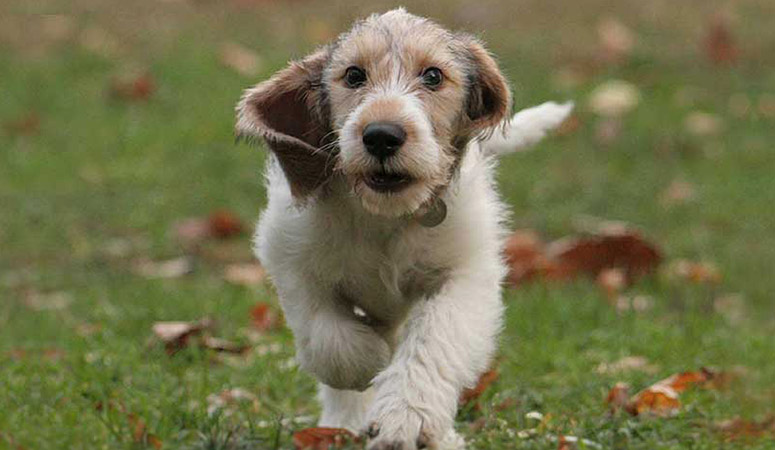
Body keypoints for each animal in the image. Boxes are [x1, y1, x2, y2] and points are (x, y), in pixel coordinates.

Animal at [236, 8, 568, 448]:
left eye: (433, 76)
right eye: (354, 75)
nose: (381, 135)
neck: (384, 216)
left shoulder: (465, 275)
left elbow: (435, 337)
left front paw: (406, 416)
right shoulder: (292, 259)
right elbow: (329, 338)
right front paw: (370, 361)